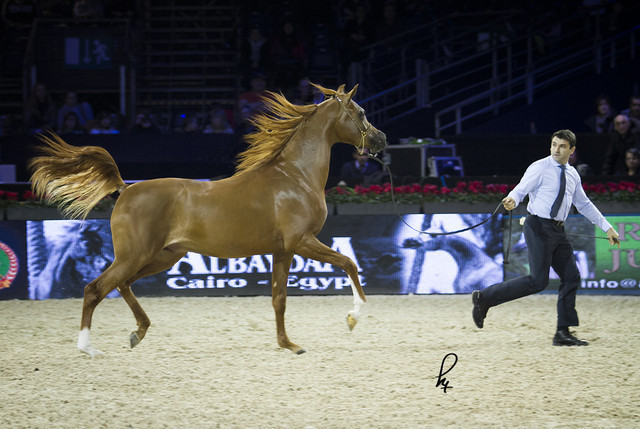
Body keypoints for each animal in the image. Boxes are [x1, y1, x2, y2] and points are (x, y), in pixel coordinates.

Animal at [29, 83, 387, 356]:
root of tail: (125, 189)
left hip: (163, 255)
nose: (382, 139)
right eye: (361, 113)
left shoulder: (283, 250)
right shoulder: (303, 241)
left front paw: (288, 344)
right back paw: (88, 348)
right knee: (95, 288)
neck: (294, 176)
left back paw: (138, 332)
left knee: (122, 284)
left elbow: (279, 298)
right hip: (135, 255)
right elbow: (348, 263)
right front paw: (353, 317)